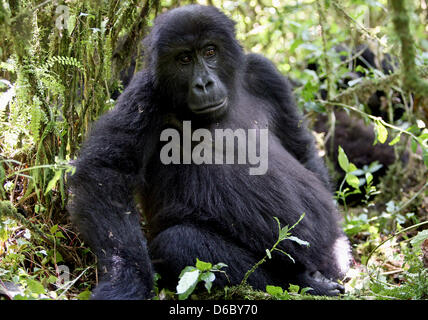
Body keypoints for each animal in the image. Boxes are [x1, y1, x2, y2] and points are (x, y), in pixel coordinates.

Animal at [67, 5, 352, 300]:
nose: (204, 84)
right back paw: (302, 282)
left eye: (210, 52)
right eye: (184, 58)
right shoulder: (146, 94)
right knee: (178, 243)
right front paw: (125, 281)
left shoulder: (265, 73)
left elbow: (299, 146)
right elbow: (107, 175)